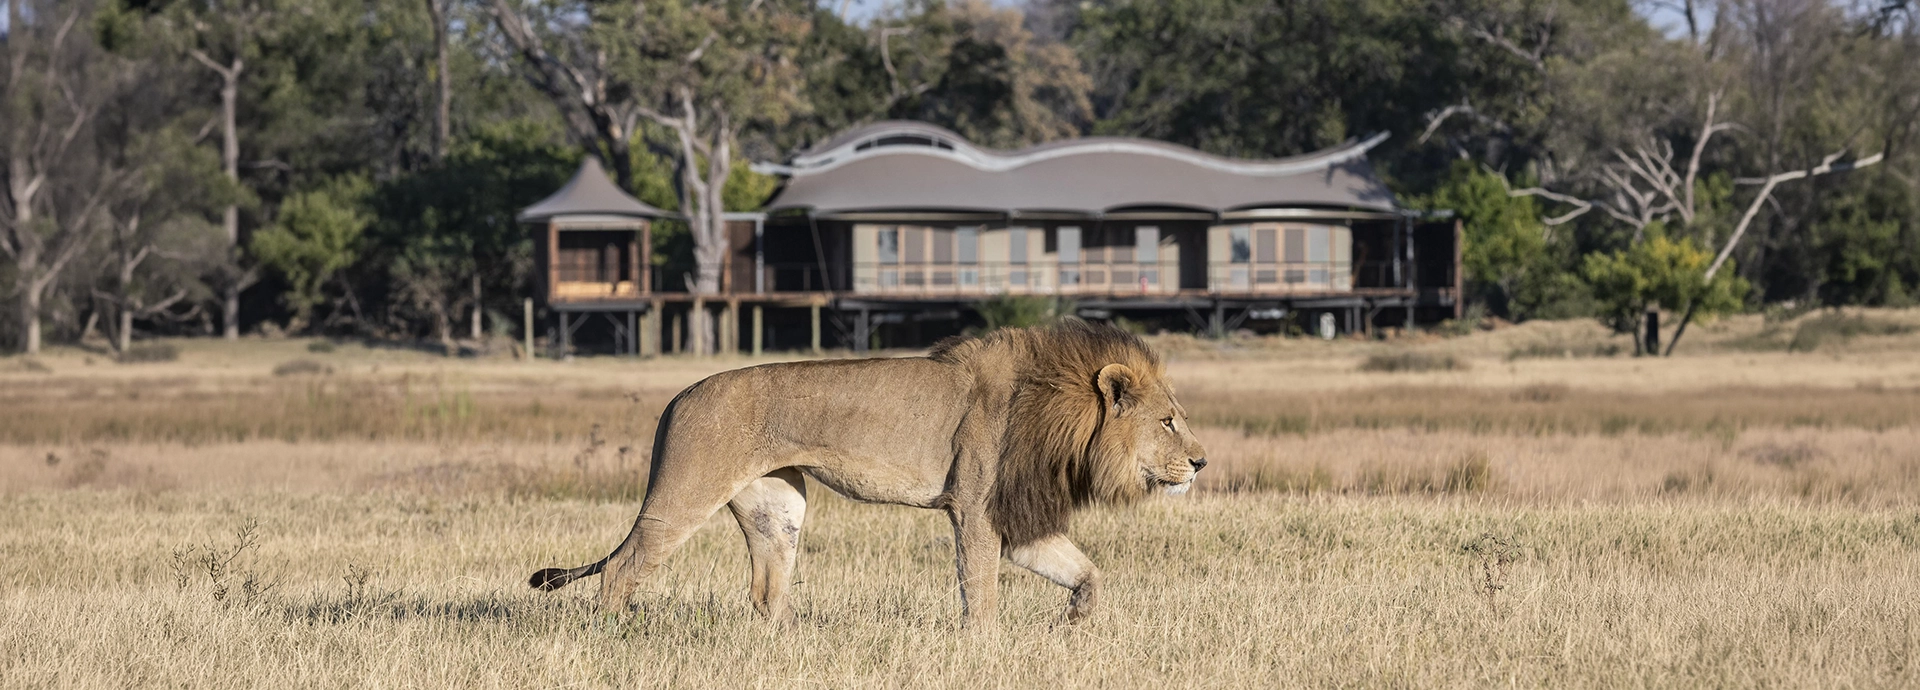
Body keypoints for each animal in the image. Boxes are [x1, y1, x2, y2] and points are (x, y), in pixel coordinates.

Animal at [528, 319, 1208, 626]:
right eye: (1169, 421)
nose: (1202, 463)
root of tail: (677, 396)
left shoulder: (1017, 519)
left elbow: (1087, 572)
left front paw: (1074, 624)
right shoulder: (977, 509)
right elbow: (980, 590)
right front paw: (985, 646)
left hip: (780, 506)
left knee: (766, 591)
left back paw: (787, 642)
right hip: (686, 493)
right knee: (622, 567)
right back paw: (616, 635)